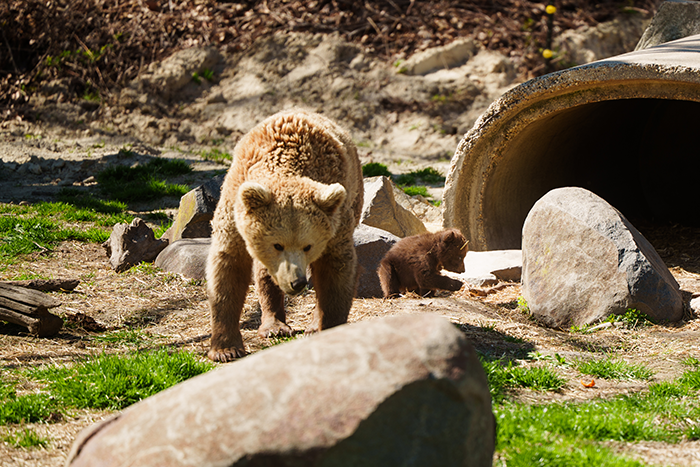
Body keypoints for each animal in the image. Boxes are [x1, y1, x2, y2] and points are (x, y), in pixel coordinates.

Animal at [206, 110, 363, 362]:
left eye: (308, 246)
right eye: (277, 245)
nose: (297, 282)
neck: (288, 164)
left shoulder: (336, 225)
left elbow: (336, 271)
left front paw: (328, 328)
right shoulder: (233, 210)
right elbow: (227, 268)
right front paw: (225, 349)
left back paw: (311, 325)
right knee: (264, 274)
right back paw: (274, 325)